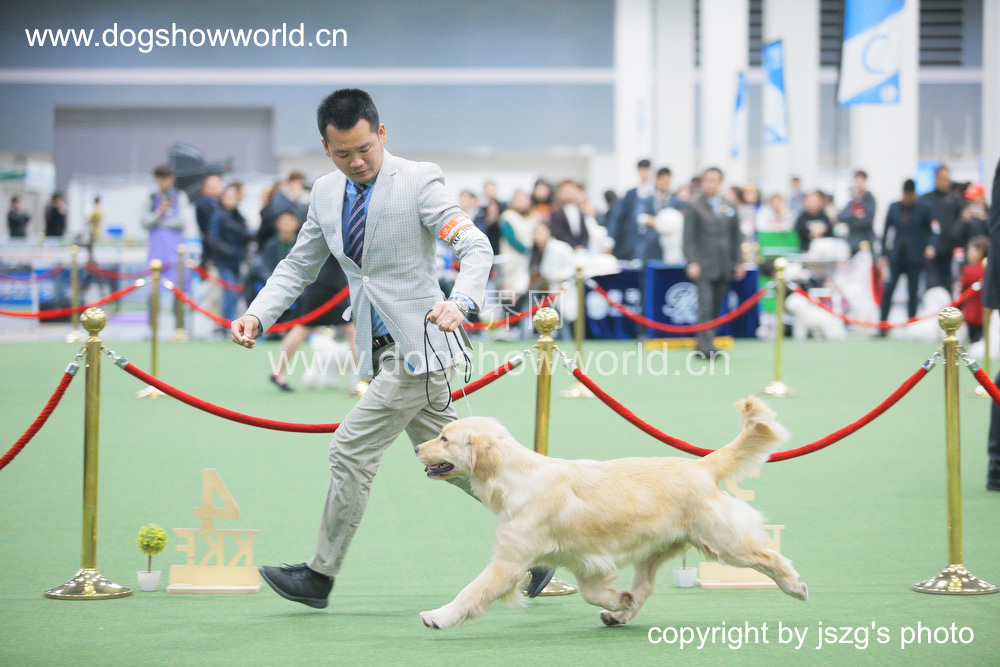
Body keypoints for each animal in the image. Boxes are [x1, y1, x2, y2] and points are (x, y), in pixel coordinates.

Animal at [414, 397, 807, 630]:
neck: (515, 478)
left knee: (770, 556)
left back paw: (795, 587)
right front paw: (617, 601)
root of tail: (702, 465)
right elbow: (593, 593)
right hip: (654, 549)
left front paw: (439, 616)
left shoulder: (509, 563)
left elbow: (471, 591)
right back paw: (620, 613)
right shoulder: (586, 563)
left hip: (725, 543)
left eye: (445, 438)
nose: (417, 448)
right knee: (644, 587)